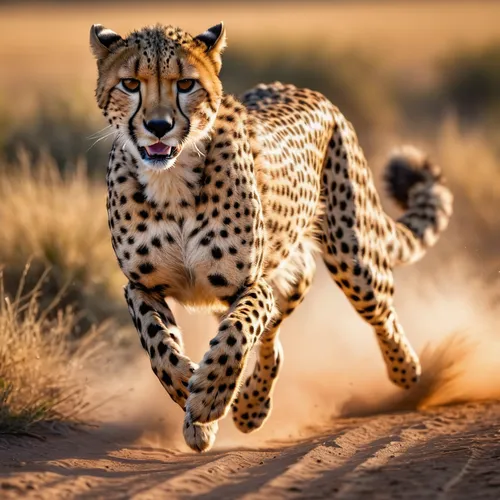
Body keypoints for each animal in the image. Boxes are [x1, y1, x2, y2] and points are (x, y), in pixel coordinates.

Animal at [90, 22, 454, 454]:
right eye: (130, 84)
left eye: (185, 84)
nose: (158, 126)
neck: (172, 180)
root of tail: (303, 89)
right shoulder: (141, 287)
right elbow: (159, 344)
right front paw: (191, 399)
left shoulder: (251, 284)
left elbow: (238, 333)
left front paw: (209, 396)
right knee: (273, 341)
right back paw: (246, 405)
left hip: (353, 256)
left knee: (377, 311)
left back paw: (405, 371)